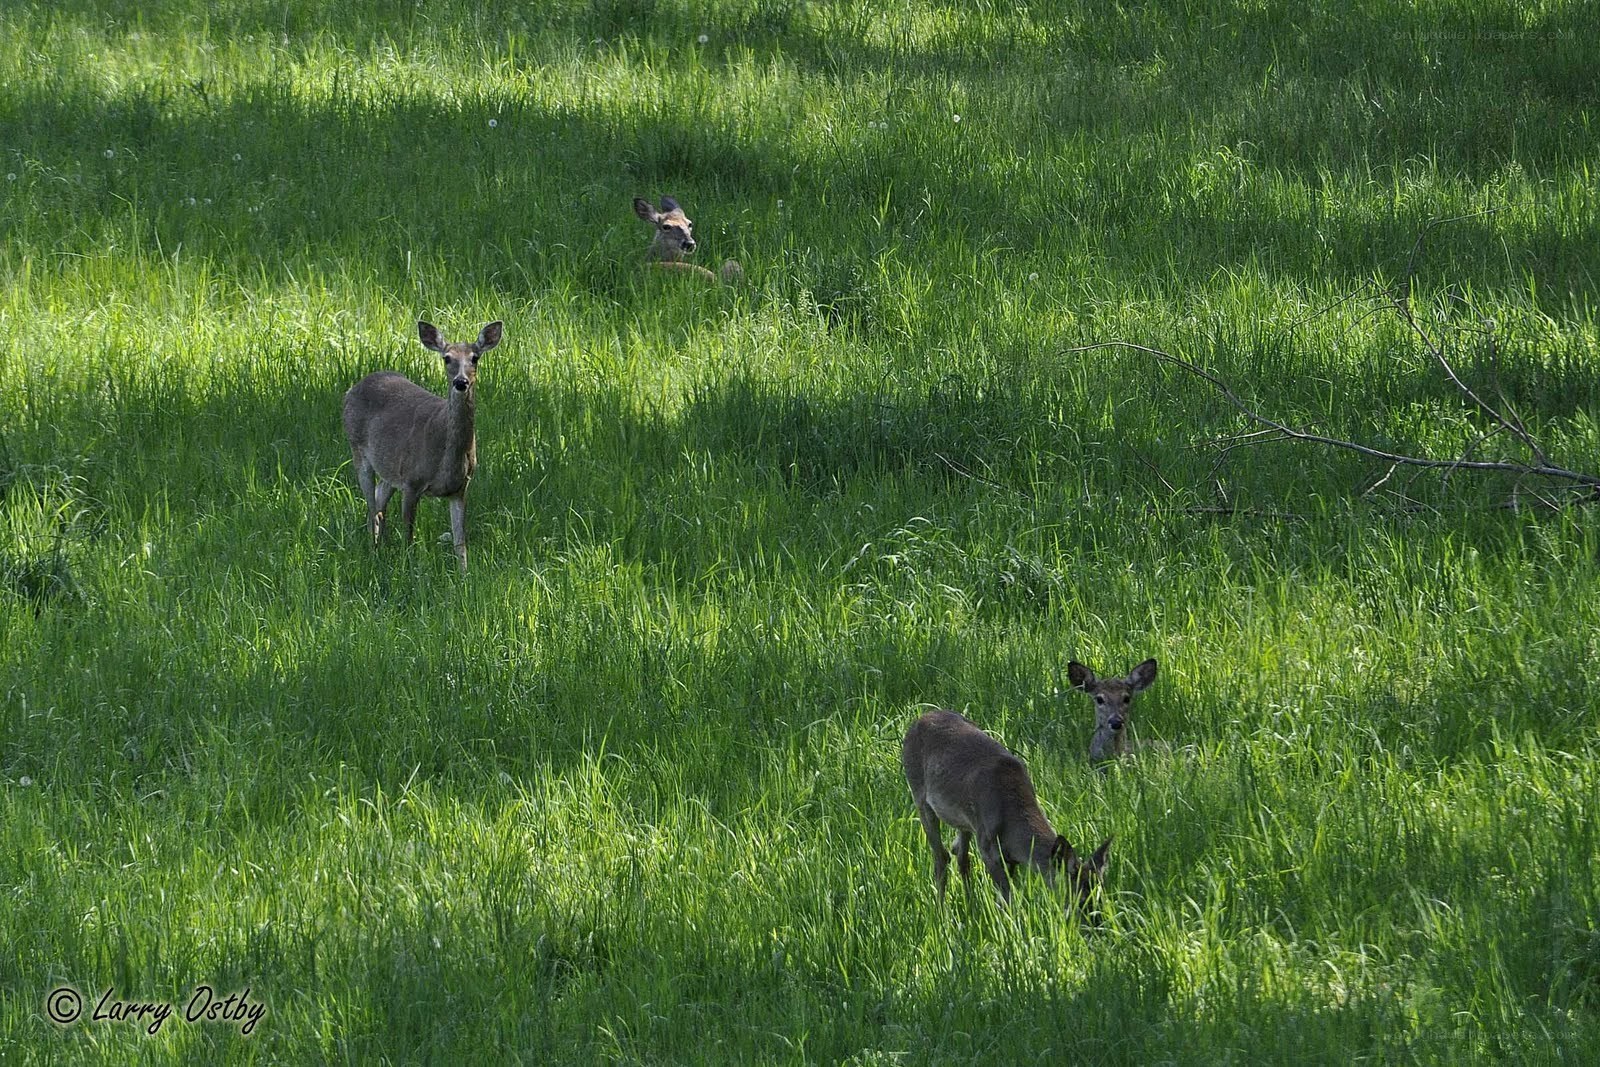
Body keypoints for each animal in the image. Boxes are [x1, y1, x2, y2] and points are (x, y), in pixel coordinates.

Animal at [342, 319, 504, 573]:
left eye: (475, 358)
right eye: (447, 358)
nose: (461, 382)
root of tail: (353, 388)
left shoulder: (460, 488)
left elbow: (460, 541)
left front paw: (464, 576)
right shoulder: (411, 481)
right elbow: (409, 536)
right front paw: (408, 571)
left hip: (389, 467)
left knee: (378, 501)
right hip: (357, 449)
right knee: (371, 506)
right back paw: (373, 553)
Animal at [902, 708, 1112, 918]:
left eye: (1101, 897)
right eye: (1081, 901)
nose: (1099, 922)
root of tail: (919, 719)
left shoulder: (1010, 859)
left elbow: (1004, 899)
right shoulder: (988, 849)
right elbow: (1007, 900)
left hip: (964, 821)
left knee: (961, 856)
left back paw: (969, 908)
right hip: (919, 795)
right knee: (941, 856)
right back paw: (941, 913)